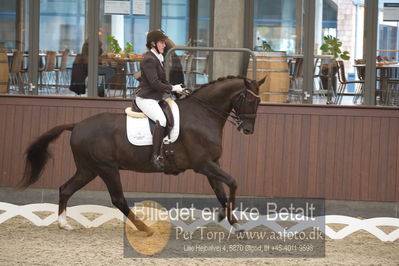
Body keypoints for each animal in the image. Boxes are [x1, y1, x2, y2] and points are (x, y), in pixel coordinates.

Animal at [21, 75, 266, 235]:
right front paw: (225, 217)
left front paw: (235, 224)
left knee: (66, 189)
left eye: (259, 101)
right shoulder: (204, 164)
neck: (202, 114)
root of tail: (77, 125)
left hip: (88, 169)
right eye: (249, 100)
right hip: (106, 168)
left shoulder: (211, 164)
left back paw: (64, 224)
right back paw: (144, 228)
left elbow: (221, 193)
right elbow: (233, 182)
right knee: (118, 199)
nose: (247, 130)